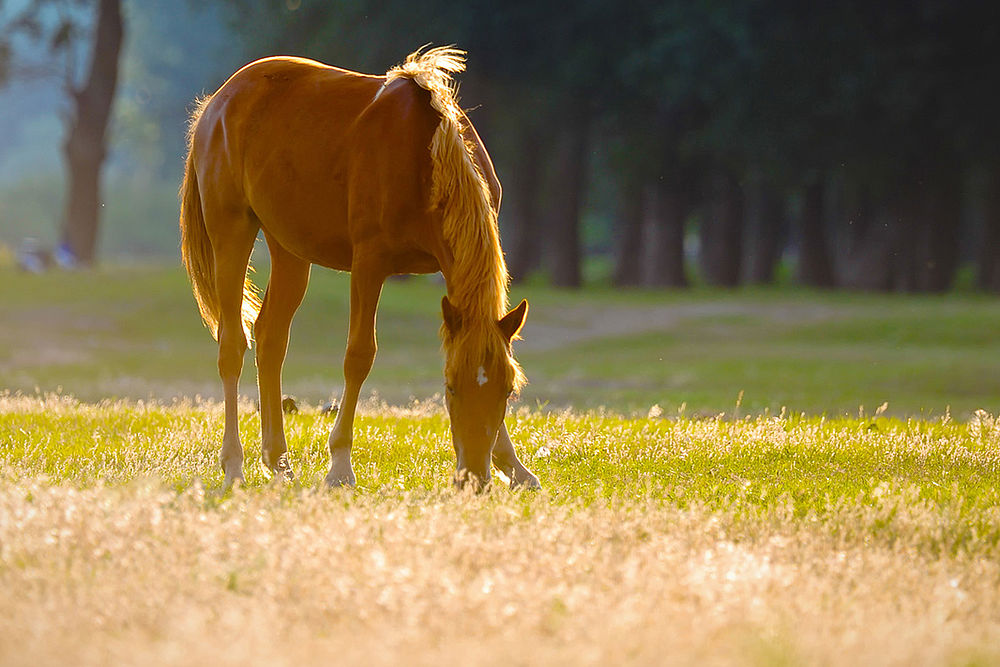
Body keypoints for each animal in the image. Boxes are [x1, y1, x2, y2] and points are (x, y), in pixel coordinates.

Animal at [180, 45, 540, 490]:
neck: (425, 155)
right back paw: (233, 465)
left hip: (290, 250)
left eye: (508, 391)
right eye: (450, 388)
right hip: (231, 231)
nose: (473, 478)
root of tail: (216, 104)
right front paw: (339, 466)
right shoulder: (370, 264)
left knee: (270, 340)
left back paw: (279, 463)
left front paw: (516, 468)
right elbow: (359, 356)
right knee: (232, 345)